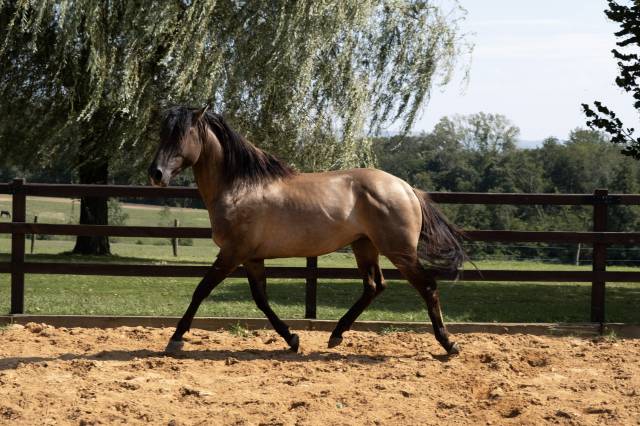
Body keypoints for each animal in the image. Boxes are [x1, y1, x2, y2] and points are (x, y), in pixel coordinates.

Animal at [148, 105, 465, 355]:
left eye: (181, 135)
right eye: (162, 133)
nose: (156, 174)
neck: (240, 187)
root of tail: (406, 187)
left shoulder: (231, 254)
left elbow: (201, 290)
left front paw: (175, 339)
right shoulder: (251, 258)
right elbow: (261, 300)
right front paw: (292, 339)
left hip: (399, 251)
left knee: (427, 286)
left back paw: (448, 344)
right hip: (364, 245)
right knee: (374, 286)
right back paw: (336, 335)